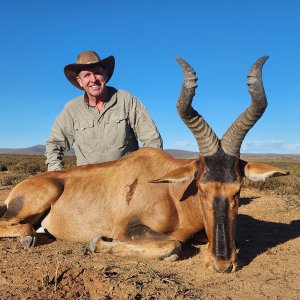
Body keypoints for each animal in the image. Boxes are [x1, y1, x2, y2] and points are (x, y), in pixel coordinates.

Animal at [0, 55, 288, 272]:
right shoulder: (128, 228)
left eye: (238, 190)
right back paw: (28, 237)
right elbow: (173, 245)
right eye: (202, 188)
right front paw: (95, 243)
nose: (223, 264)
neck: (173, 192)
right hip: (40, 197)